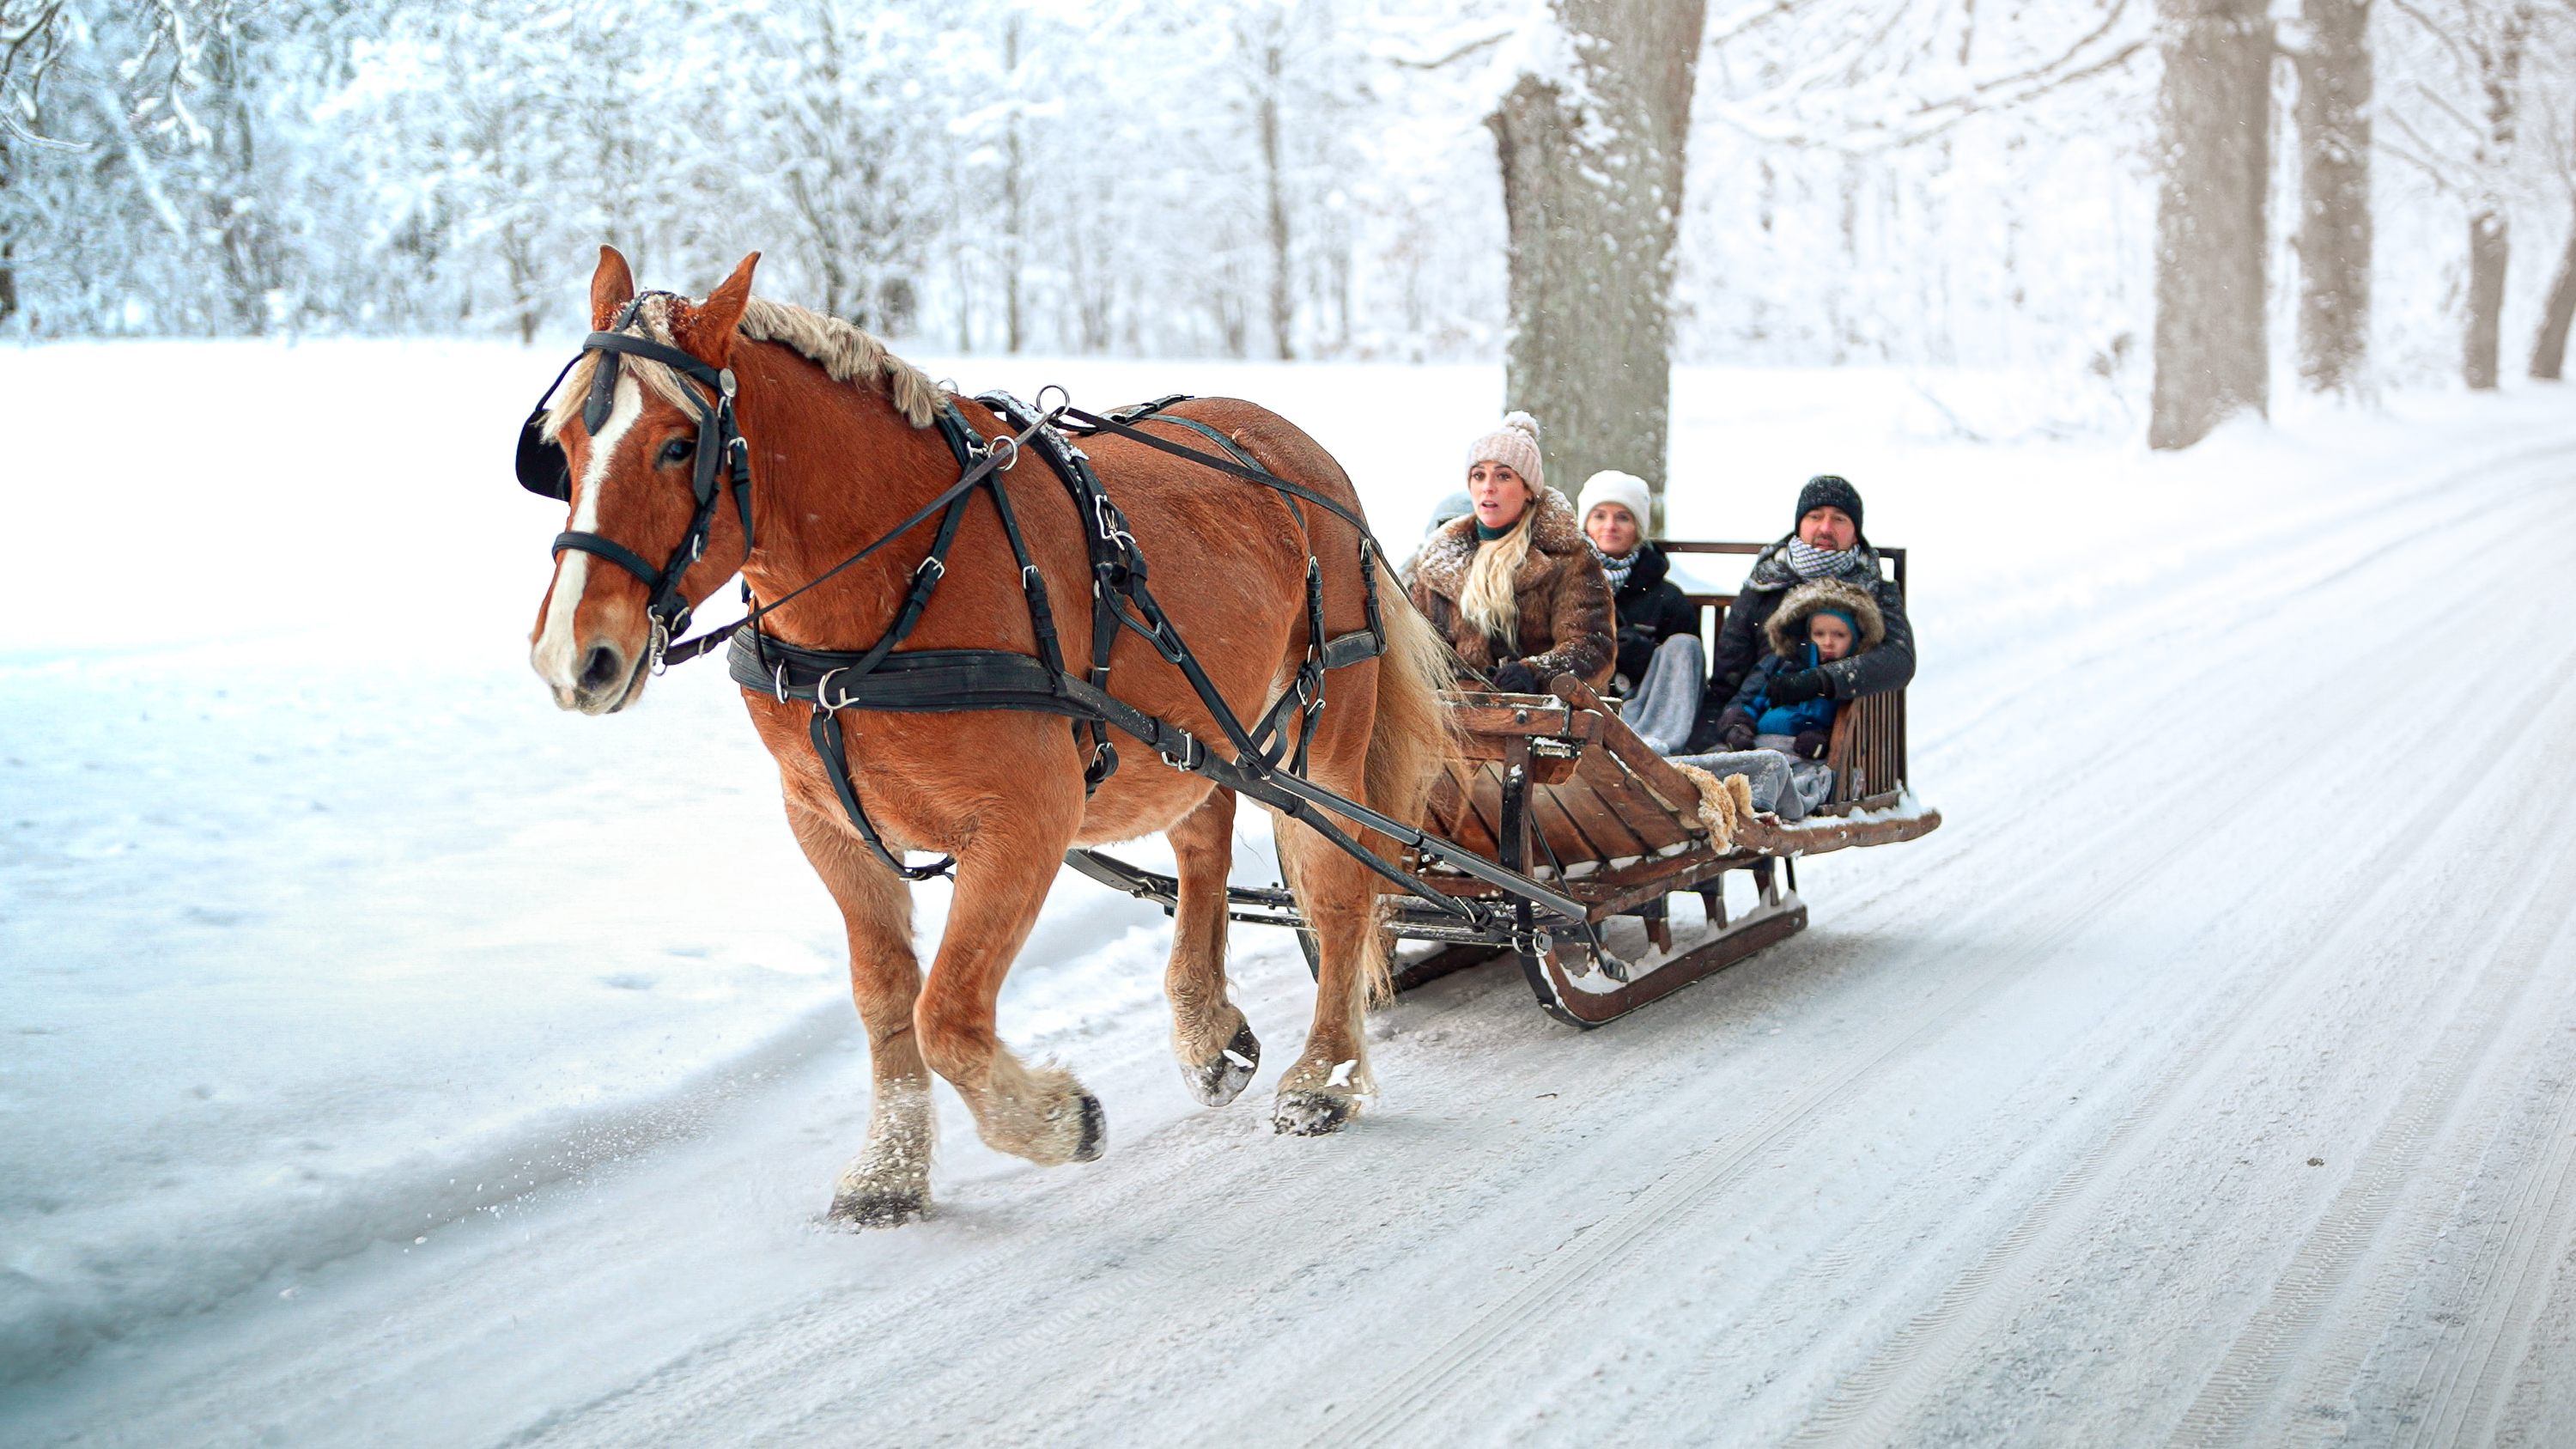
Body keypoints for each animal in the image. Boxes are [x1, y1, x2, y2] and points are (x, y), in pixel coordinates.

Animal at [528, 245, 1453, 1216]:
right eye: (564, 446)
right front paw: (890, 1166)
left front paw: (1054, 1119)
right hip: (1196, 728)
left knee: (1340, 890)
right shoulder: (827, 823)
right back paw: (1206, 1029)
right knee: (1205, 844)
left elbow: (944, 1013)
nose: (575, 654)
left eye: (679, 445)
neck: (891, 586)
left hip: (1327, 725)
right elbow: (885, 998)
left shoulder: (1024, 820)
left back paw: (1326, 1074)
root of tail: (1299, 451)